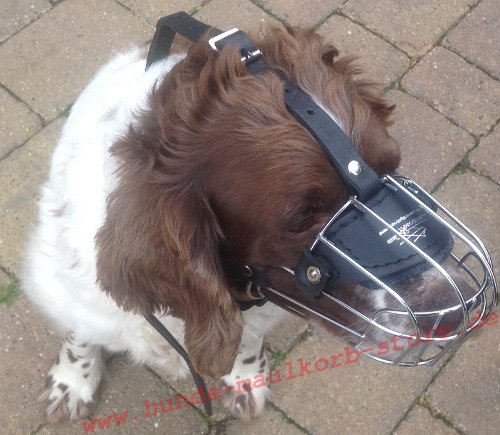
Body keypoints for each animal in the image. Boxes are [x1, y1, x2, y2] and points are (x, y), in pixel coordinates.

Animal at [22, 23, 472, 422]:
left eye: (392, 170)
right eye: (301, 219)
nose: (460, 310)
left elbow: (247, 341)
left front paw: (245, 380)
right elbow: (81, 335)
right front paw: (72, 383)